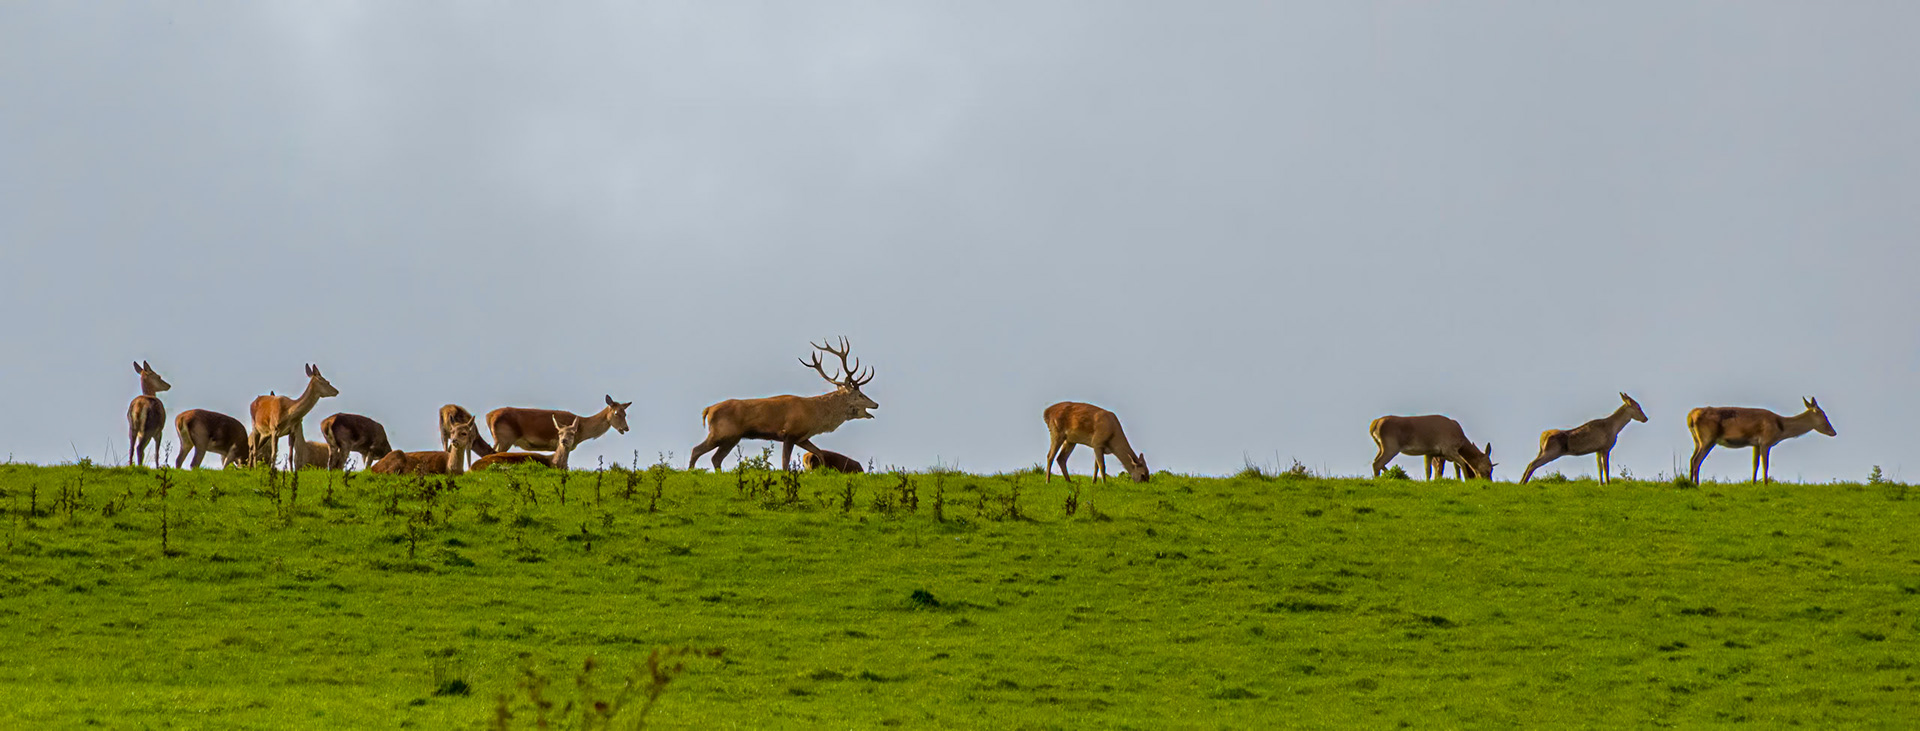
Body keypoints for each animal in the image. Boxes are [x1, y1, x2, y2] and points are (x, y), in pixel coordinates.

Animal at [486, 395, 629, 455]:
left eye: (625, 413)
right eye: (616, 413)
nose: (626, 428)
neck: (581, 430)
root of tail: (489, 416)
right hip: (504, 438)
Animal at [689, 337, 878, 471]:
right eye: (860, 395)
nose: (876, 404)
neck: (814, 414)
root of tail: (708, 410)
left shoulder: (803, 436)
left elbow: (819, 453)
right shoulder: (789, 433)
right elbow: (785, 463)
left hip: (732, 437)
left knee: (716, 458)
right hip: (721, 432)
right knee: (696, 450)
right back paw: (690, 472)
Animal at [1519, 393, 1648, 485]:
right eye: (1638, 407)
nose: (1646, 418)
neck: (1615, 428)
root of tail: (1542, 437)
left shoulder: (1597, 450)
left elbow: (1599, 467)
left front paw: (1601, 484)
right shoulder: (1606, 447)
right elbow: (1606, 467)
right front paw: (1608, 484)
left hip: (1544, 451)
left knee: (1530, 463)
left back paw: (1521, 483)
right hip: (1552, 451)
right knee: (1532, 464)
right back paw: (1523, 483)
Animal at [1687, 397, 1835, 484]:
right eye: (1824, 415)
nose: (1834, 432)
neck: (1780, 428)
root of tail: (1690, 417)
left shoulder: (1755, 444)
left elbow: (1755, 464)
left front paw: (1753, 483)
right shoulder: (1765, 442)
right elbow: (1765, 464)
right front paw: (1765, 484)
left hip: (1697, 440)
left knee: (1692, 458)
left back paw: (1690, 482)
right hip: (1708, 438)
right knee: (1697, 460)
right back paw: (1696, 484)